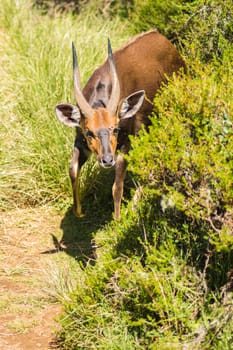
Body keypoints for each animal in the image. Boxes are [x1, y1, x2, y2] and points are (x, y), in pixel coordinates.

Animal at [55, 31, 186, 220]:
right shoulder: (80, 142)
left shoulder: (128, 142)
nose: (107, 159)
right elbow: (72, 169)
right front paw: (79, 212)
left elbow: (117, 184)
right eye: (89, 132)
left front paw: (118, 219)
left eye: (115, 128)